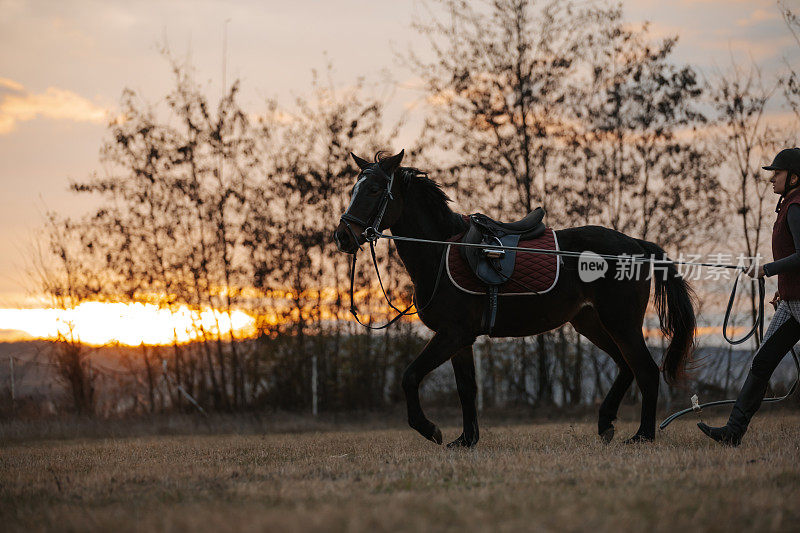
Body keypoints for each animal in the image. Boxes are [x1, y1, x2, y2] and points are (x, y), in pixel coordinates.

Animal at [332, 149, 692, 444]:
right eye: (354, 190)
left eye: (374, 190)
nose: (343, 236)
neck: (441, 251)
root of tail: (636, 244)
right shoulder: (460, 339)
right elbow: (466, 388)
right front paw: (466, 440)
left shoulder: (452, 334)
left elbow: (410, 377)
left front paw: (429, 428)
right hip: (591, 322)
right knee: (625, 367)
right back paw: (606, 424)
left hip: (622, 323)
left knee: (646, 371)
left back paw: (643, 435)